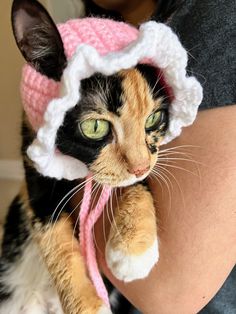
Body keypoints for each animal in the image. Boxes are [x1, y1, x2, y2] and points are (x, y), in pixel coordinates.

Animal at [0, 0, 171, 314]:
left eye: (153, 118)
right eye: (94, 127)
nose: (139, 167)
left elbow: (134, 176)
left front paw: (133, 250)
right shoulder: (34, 166)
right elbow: (54, 236)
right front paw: (89, 305)